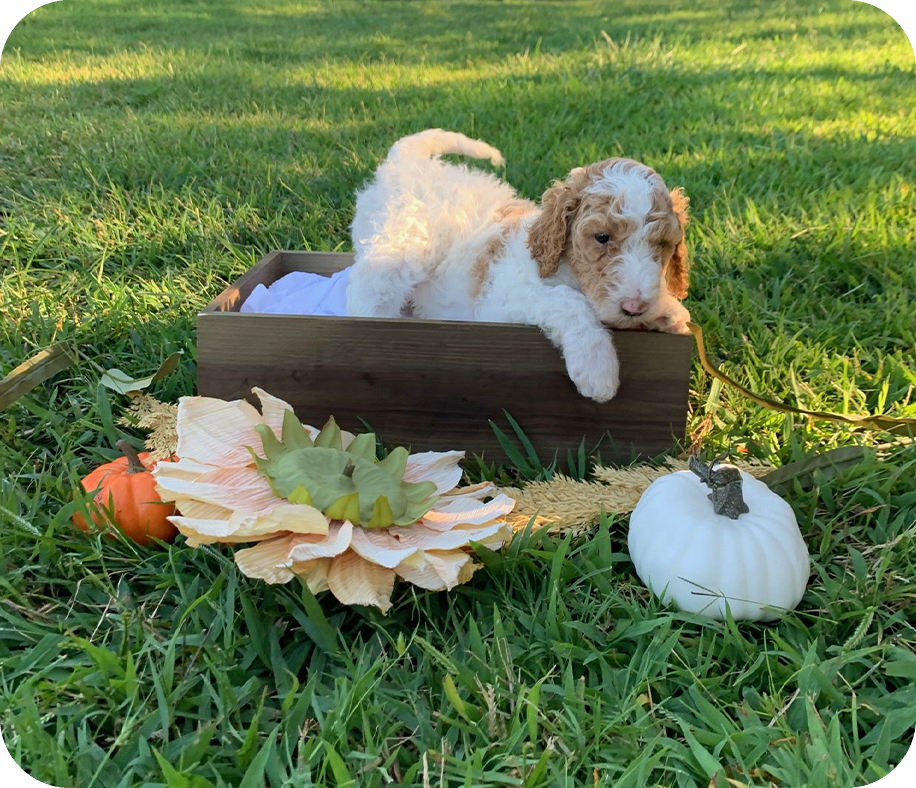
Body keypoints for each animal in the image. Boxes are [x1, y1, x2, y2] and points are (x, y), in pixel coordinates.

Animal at [348, 130, 692, 404]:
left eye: (661, 245)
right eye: (602, 237)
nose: (635, 307)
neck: (563, 268)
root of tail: (406, 162)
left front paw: (668, 312)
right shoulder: (503, 302)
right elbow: (568, 301)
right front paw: (597, 367)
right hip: (397, 252)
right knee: (369, 291)